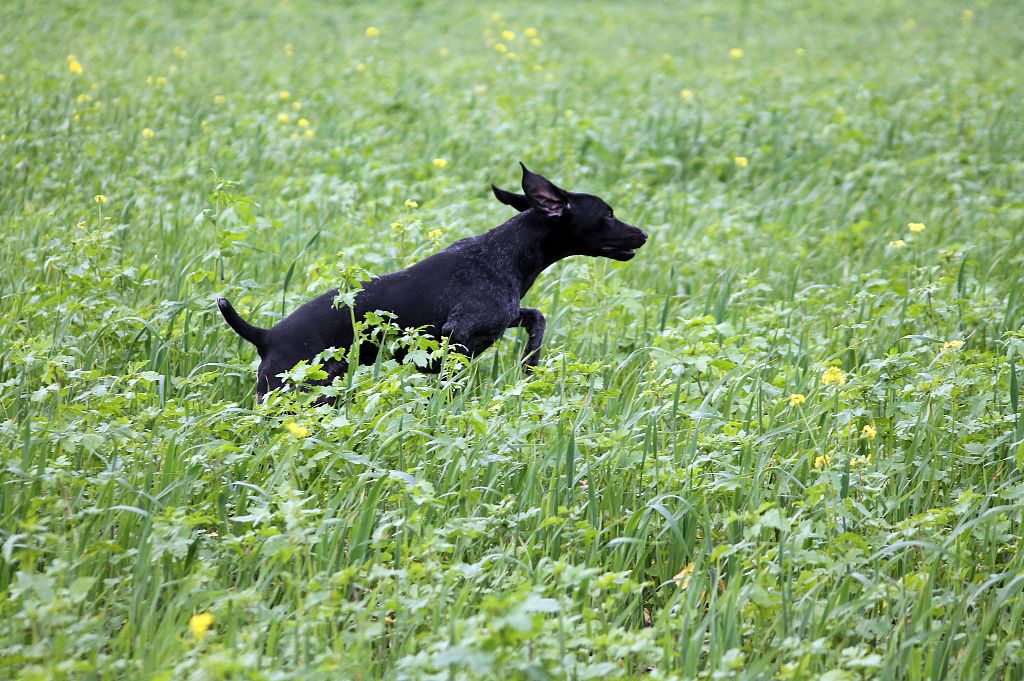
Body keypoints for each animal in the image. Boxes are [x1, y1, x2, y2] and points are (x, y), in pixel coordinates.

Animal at [217, 163, 647, 399]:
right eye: (608, 214)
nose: (643, 234)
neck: (507, 252)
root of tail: (265, 336)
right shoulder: (459, 334)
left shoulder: (503, 317)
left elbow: (537, 318)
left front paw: (531, 365)